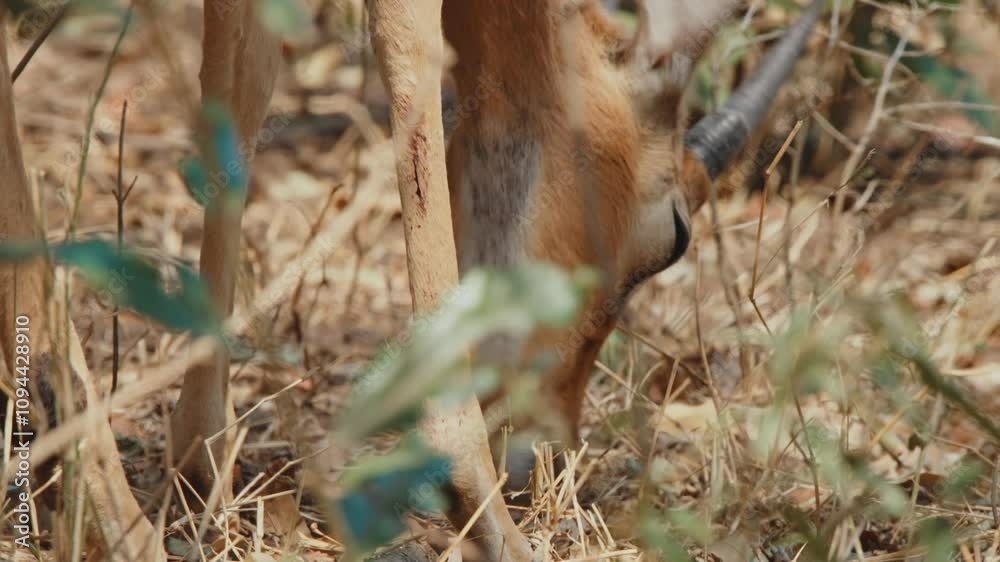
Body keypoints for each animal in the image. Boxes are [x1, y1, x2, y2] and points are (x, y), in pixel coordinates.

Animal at [0, 0, 821, 560]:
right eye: (673, 236)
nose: (541, 456)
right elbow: (410, 57)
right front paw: (486, 514)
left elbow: (241, 90)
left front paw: (202, 462)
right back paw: (115, 524)